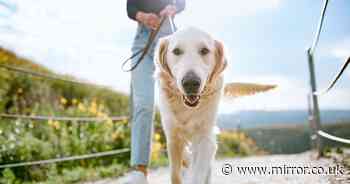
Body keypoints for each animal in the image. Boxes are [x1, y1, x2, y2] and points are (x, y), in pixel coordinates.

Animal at [154, 27, 274, 184]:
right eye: (177, 51)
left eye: (204, 50)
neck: (188, 108)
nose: (191, 83)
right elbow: (175, 174)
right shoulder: (173, 137)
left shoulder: (205, 137)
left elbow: (198, 172)